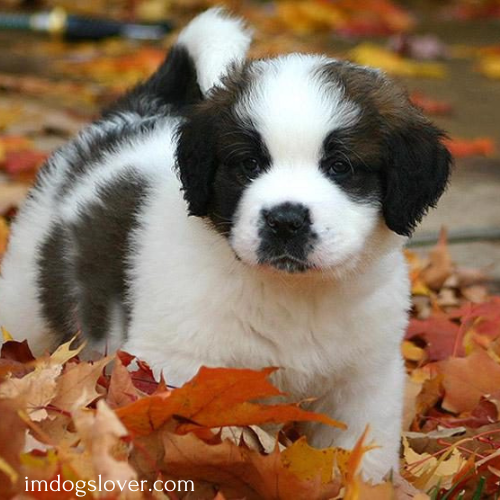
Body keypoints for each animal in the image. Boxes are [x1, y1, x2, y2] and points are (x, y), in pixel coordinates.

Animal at [0, 7, 454, 482]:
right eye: (249, 164)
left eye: (341, 166)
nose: (285, 221)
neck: (294, 295)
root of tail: (127, 117)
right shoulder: (174, 368)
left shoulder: (366, 379)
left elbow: (360, 455)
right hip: (25, 298)